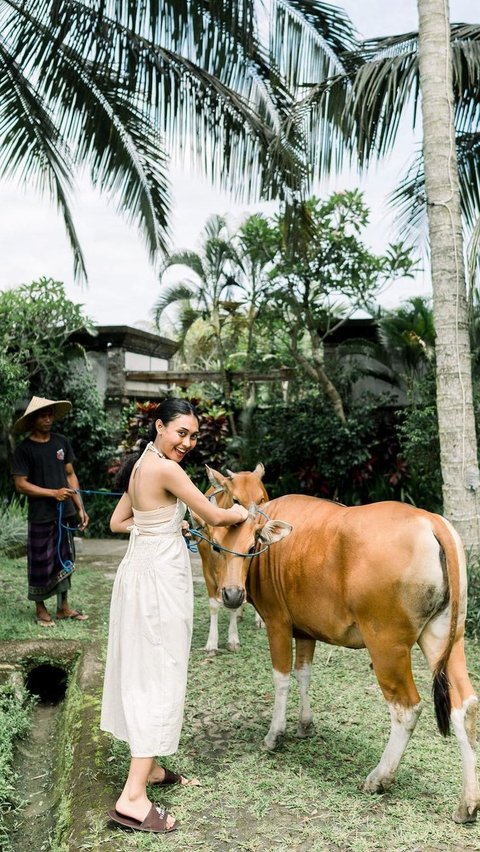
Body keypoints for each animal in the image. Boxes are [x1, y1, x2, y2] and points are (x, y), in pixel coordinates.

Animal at [196, 466, 270, 652]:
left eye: (261, 499)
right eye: (236, 500)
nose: (255, 525)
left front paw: (233, 639)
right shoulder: (206, 567)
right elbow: (215, 604)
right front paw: (211, 643)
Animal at [210, 496, 480, 824]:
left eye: (251, 547)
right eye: (216, 546)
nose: (232, 594)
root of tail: (432, 521)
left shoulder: (277, 623)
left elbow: (282, 678)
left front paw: (274, 735)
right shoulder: (305, 631)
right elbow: (304, 673)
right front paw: (305, 725)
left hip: (386, 645)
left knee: (406, 708)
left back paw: (379, 777)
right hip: (446, 638)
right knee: (464, 705)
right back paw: (467, 803)